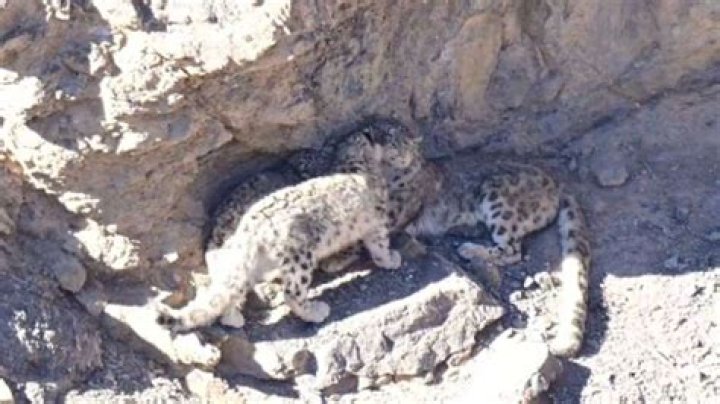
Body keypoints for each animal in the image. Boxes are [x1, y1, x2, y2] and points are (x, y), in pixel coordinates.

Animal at [156, 131, 407, 332]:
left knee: (232, 287)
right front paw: (391, 259)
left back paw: (233, 318)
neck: (352, 162)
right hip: (299, 256)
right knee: (292, 293)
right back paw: (316, 311)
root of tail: (248, 229)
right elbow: (379, 245)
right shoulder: (377, 222)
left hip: (246, 260)